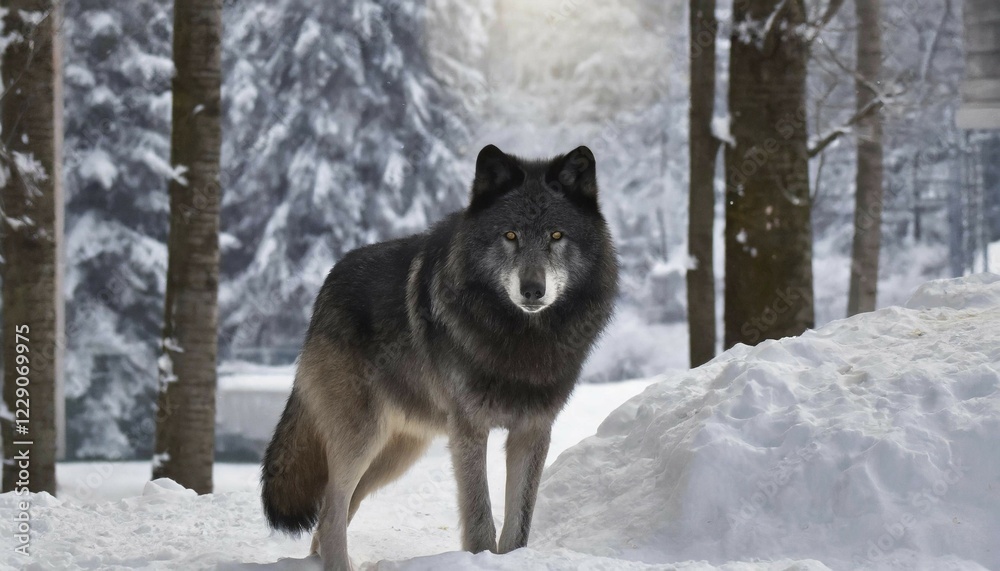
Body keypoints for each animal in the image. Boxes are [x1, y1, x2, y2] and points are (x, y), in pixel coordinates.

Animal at [260, 144, 619, 570]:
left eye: (557, 235)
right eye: (510, 235)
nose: (533, 290)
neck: (520, 341)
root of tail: (326, 284)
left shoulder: (533, 430)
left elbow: (518, 526)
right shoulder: (468, 429)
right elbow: (480, 520)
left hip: (397, 454)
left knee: (333, 514)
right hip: (363, 438)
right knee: (331, 512)